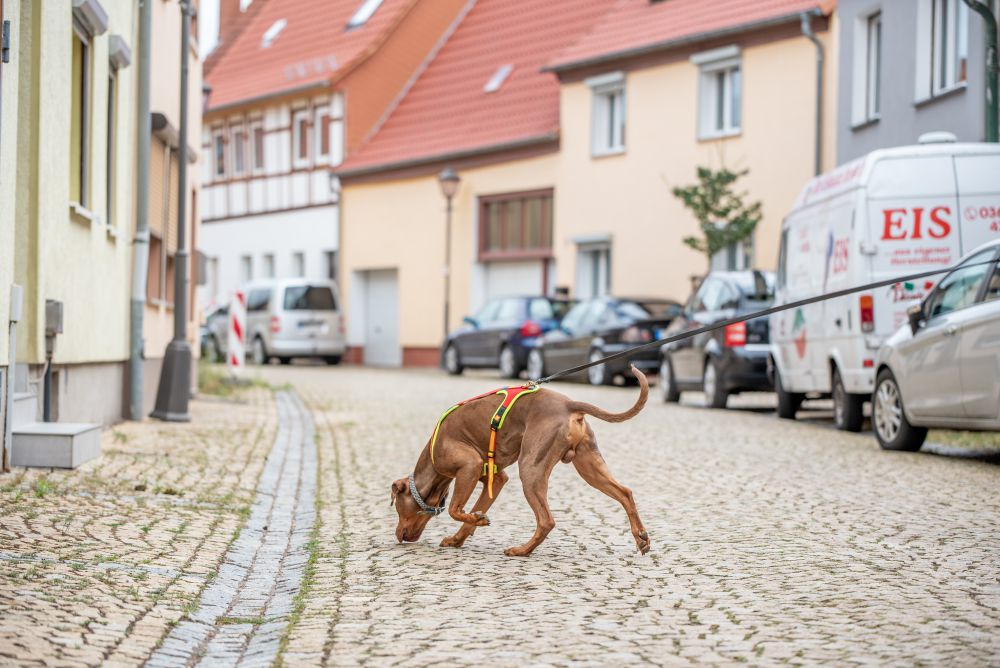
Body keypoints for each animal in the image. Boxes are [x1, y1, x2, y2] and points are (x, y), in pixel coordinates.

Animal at [390, 362, 648, 556]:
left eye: (397, 507)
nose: (398, 536)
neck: (434, 464)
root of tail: (568, 405)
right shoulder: (495, 478)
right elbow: (468, 516)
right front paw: (458, 538)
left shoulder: (469, 468)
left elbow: (456, 510)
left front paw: (478, 520)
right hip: (589, 466)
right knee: (625, 493)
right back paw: (641, 538)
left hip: (531, 469)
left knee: (546, 521)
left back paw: (521, 550)